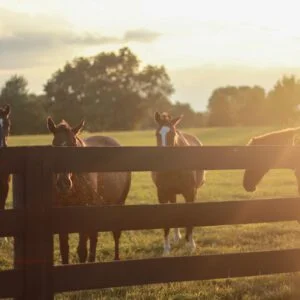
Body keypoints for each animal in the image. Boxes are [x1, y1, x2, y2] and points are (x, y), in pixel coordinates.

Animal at [47, 118, 131, 264]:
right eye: (54, 144)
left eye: (73, 145)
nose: (63, 183)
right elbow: (64, 250)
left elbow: (82, 250)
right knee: (94, 237)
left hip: (119, 203)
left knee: (115, 233)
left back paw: (115, 258)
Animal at [151, 112, 205, 255]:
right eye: (157, 134)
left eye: (172, 134)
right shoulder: (162, 194)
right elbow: (166, 221)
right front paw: (166, 249)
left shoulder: (190, 192)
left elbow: (189, 218)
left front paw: (191, 245)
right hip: (171, 194)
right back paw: (176, 237)